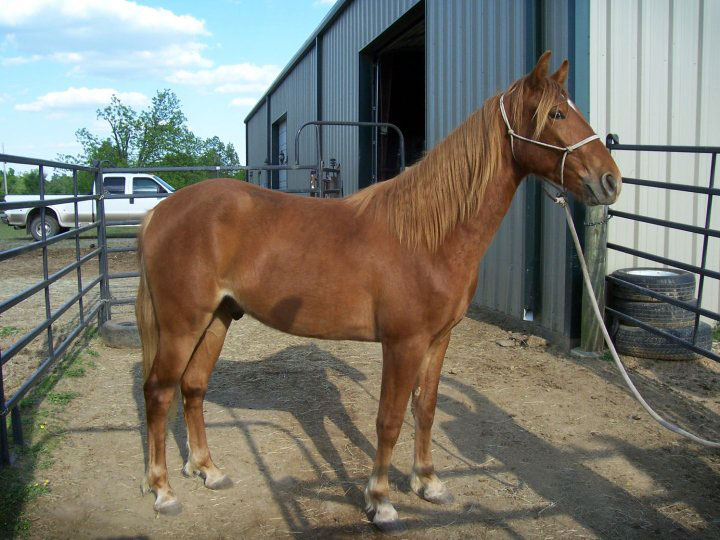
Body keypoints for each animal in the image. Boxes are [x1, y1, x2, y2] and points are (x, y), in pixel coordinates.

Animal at [135, 51, 621, 532]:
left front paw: (428, 483)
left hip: (217, 319)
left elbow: (426, 409)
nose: (611, 180)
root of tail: (162, 210)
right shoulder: (403, 344)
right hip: (182, 326)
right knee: (158, 392)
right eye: (556, 113)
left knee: (193, 387)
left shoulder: (438, 340)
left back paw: (208, 470)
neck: (427, 236)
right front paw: (382, 502)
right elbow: (388, 420)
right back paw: (162, 491)